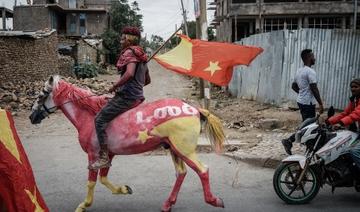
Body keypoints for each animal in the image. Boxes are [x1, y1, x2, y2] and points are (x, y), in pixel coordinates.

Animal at [29, 76, 225, 212]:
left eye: (41, 95)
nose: (31, 117)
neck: (89, 116)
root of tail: (195, 109)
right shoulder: (108, 154)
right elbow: (104, 178)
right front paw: (124, 189)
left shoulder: (93, 155)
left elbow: (92, 182)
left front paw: (84, 205)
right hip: (173, 149)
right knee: (181, 173)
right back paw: (167, 204)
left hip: (184, 150)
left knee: (202, 170)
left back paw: (214, 200)